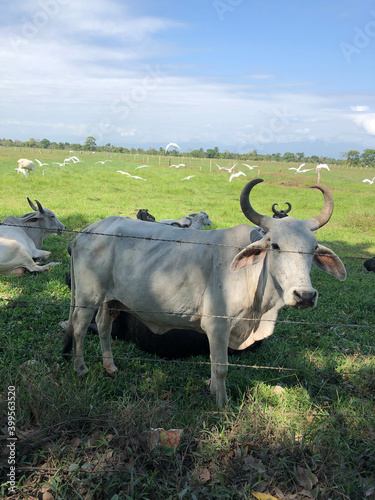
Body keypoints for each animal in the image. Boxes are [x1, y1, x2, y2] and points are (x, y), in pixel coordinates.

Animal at [62, 180, 346, 406]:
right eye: (275, 245)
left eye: (313, 248)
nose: (305, 295)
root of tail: (84, 233)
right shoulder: (217, 325)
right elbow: (220, 367)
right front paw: (222, 402)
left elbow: (212, 362)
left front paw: (212, 391)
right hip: (87, 298)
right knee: (79, 327)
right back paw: (81, 369)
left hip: (112, 300)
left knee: (103, 326)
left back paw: (110, 368)